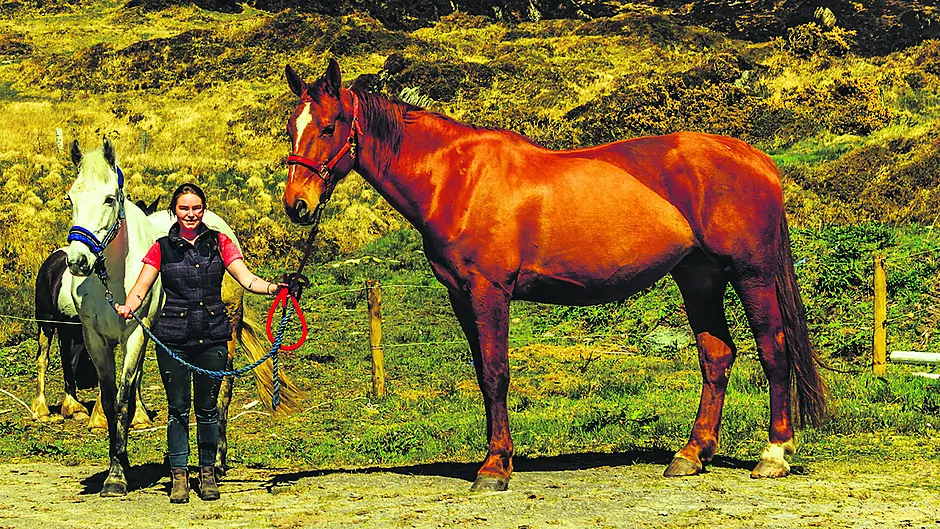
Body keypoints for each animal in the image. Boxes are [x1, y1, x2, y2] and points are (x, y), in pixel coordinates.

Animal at [281, 59, 828, 492]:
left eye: (329, 126)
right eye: (291, 128)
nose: (297, 205)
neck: (458, 178)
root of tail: (759, 160)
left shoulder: (489, 292)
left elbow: (497, 373)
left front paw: (494, 468)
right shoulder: (461, 295)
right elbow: (482, 374)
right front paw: (497, 458)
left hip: (751, 274)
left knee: (773, 350)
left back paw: (774, 455)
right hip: (699, 278)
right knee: (717, 356)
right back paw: (690, 455)